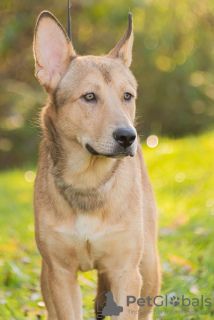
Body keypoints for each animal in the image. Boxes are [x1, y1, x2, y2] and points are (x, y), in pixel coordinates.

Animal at [33, 10, 160, 320]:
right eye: (89, 96)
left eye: (127, 96)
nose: (128, 137)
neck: (88, 182)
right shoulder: (60, 274)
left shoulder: (126, 273)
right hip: (45, 277)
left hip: (149, 269)